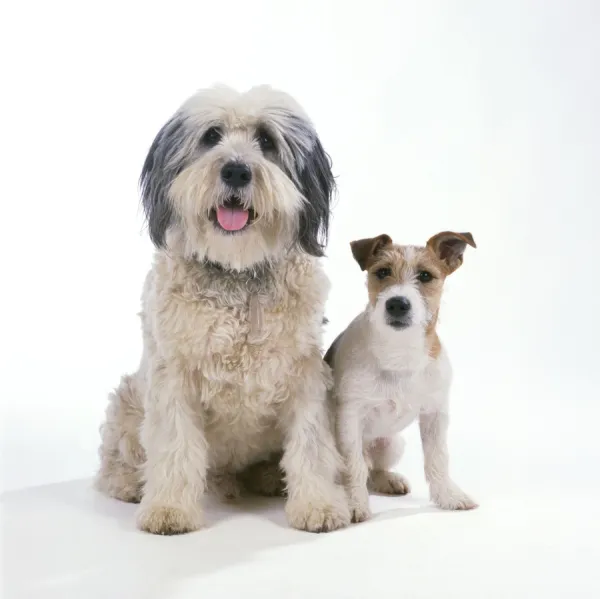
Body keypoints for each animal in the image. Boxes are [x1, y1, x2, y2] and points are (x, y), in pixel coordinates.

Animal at [95, 83, 352, 536]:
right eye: (211, 136)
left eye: (266, 140)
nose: (235, 171)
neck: (238, 271)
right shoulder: (172, 379)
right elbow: (175, 445)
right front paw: (169, 510)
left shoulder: (305, 374)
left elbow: (311, 444)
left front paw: (318, 505)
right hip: (127, 398)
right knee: (115, 459)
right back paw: (129, 483)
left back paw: (269, 478)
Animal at [324, 232, 478, 524]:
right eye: (382, 272)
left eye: (426, 276)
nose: (397, 303)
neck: (399, 352)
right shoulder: (350, 416)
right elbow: (352, 465)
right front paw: (355, 504)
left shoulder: (435, 414)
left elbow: (438, 458)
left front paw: (448, 495)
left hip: (392, 443)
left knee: (374, 470)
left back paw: (388, 480)